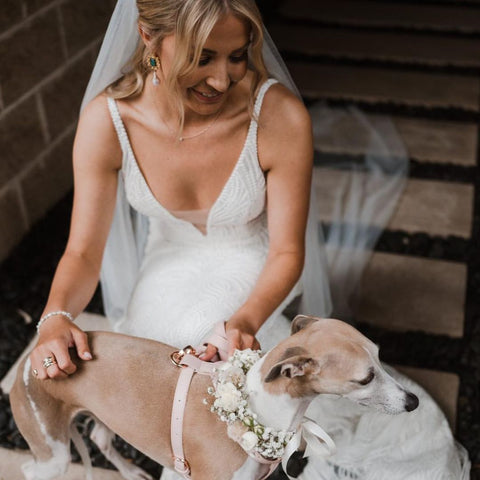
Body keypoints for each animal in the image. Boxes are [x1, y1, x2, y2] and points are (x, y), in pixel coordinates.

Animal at [9, 316, 418, 480]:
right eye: (365, 378)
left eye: (380, 356)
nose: (412, 402)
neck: (258, 410)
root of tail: (30, 362)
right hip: (52, 454)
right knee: (31, 469)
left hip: (107, 417)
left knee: (99, 437)